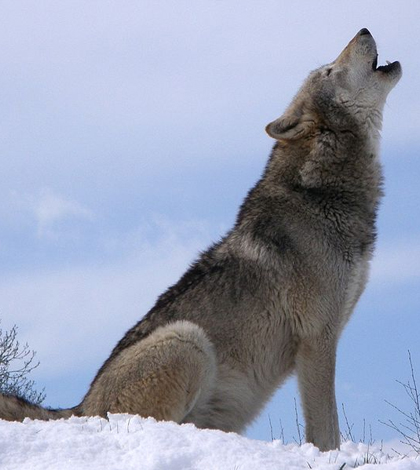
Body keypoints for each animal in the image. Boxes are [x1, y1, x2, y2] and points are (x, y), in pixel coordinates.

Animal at [0, 26, 400, 452]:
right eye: (328, 70)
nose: (363, 29)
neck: (320, 193)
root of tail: (78, 408)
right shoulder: (316, 339)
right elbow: (327, 430)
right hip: (187, 339)